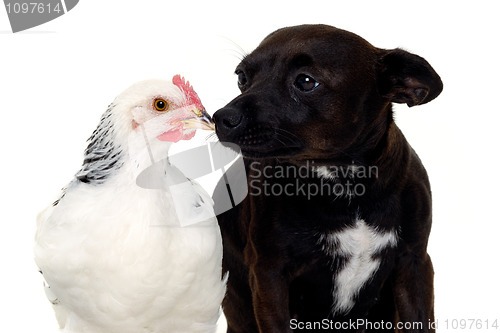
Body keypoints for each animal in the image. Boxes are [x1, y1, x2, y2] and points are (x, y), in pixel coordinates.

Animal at [211, 24, 442, 330]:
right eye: (242, 77)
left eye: (306, 82)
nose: (222, 117)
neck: (345, 184)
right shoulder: (268, 275)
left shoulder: (414, 264)